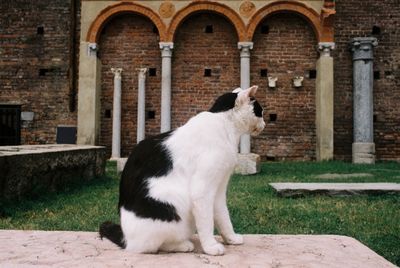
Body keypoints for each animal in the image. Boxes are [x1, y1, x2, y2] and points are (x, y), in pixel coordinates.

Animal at [99, 86, 266, 255]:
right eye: (261, 112)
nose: (265, 123)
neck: (226, 127)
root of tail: (126, 239)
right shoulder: (202, 191)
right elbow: (207, 222)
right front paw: (210, 247)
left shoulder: (219, 189)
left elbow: (223, 216)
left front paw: (230, 238)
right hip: (171, 204)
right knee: (151, 246)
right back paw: (183, 245)